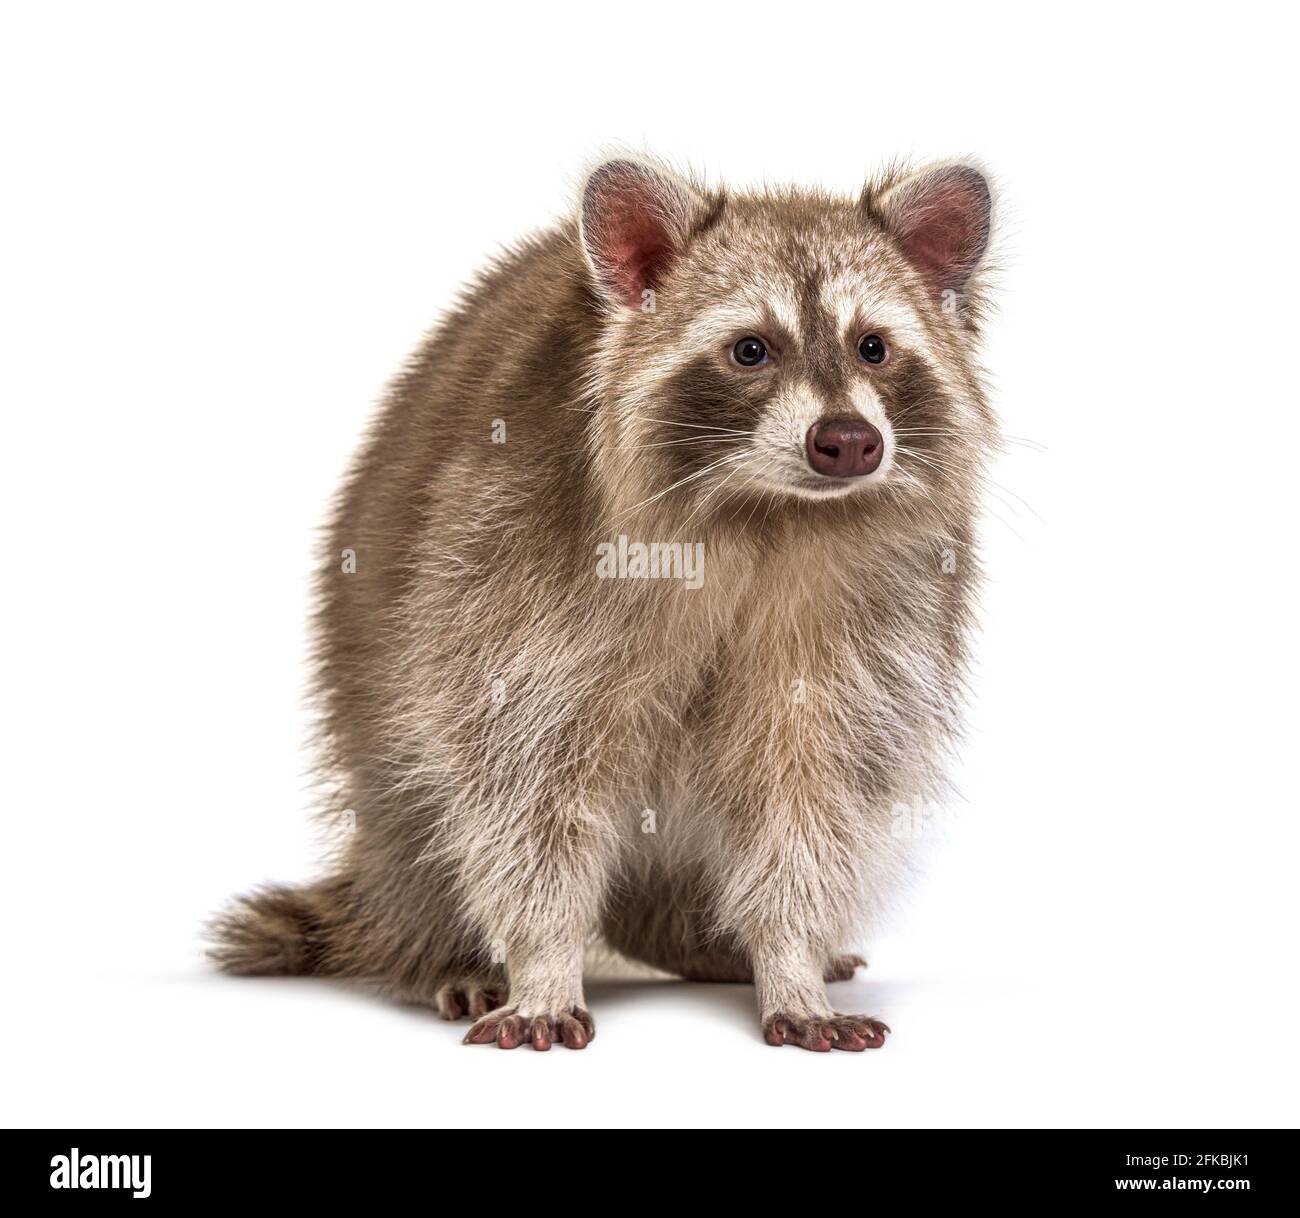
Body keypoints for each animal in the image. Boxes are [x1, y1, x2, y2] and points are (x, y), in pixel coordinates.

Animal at [211, 155, 997, 1052]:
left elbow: (815, 788)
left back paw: (698, 940)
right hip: (369, 674)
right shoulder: (511, 559)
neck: (767, 508)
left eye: (874, 346)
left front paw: (789, 958)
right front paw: (543, 961)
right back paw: (440, 948)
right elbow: (518, 783)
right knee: (416, 812)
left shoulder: (881, 604)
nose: (849, 441)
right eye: (750, 350)